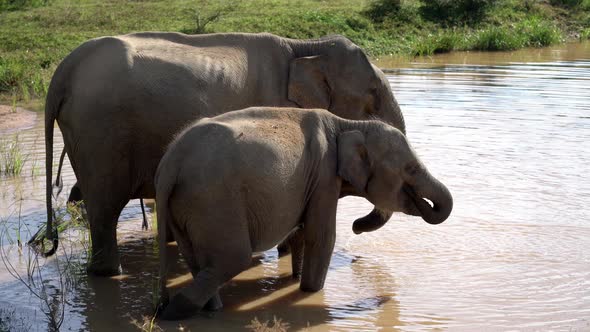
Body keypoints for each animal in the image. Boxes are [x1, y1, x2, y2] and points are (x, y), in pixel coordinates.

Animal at [45, 31, 408, 274]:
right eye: (372, 99)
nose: (357, 227)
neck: (305, 47)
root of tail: (63, 72)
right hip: (100, 135)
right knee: (105, 209)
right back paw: (109, 275)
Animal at [156, 106, 454, 320]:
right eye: (411, 169)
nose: (356, 227)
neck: (349, 124)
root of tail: (171, 161)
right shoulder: (324, 175)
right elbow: (321, 236)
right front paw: (310, 291)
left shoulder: (312, 181)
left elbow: (301, 232)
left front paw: (295, 279)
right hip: (214, 201)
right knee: (232, 259)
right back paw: (174, 314)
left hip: (185, 207)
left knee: (199, 261)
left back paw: (206, 311)